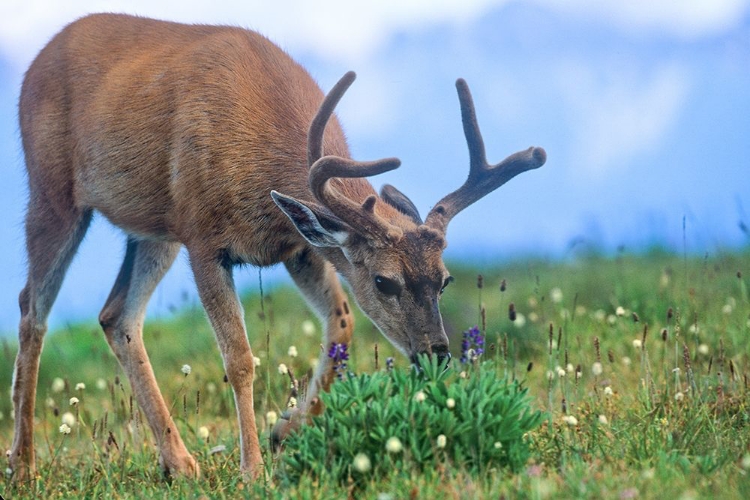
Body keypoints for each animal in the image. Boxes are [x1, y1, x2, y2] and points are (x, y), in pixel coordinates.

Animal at [7, 12, 548, 480]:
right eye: (383, 281)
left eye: (446, 278)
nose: (438, 353)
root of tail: (39, 57)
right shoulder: (204, 237)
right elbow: (240, 360)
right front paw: (252, 470)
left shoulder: (299, 246)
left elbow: (342, 323)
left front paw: (286, 428)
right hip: (54, 192)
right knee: (32, 310)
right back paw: (23, 464)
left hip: (154, 230)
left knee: (116, 315)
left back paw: (179, 462)